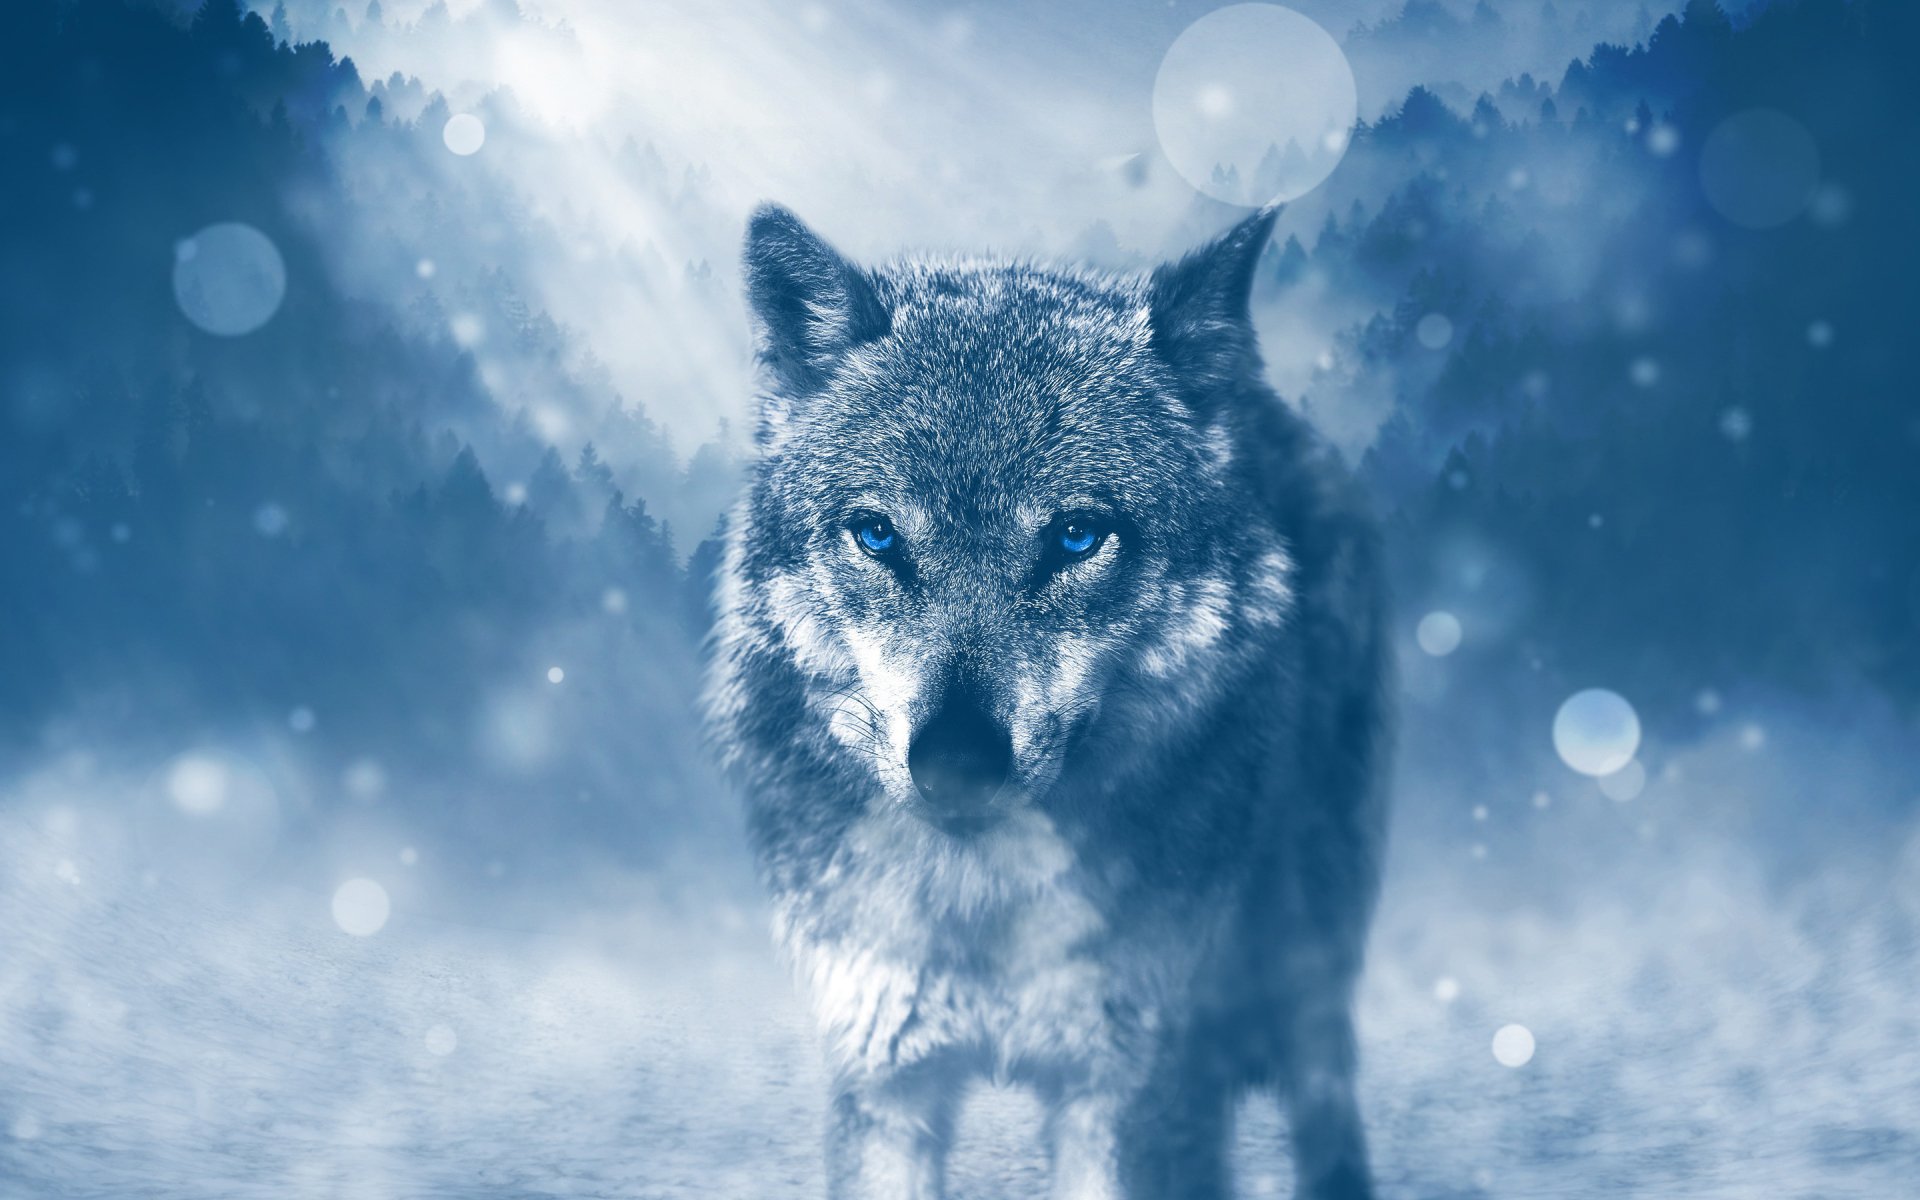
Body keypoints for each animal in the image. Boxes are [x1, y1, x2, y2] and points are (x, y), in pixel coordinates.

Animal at [705, 203, 1391, 1200]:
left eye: (1076, 536)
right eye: (877, 534)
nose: (955, 762)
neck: (983, 905)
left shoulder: (1130, 1089)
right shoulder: (884, 1077)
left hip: (1307, 946)